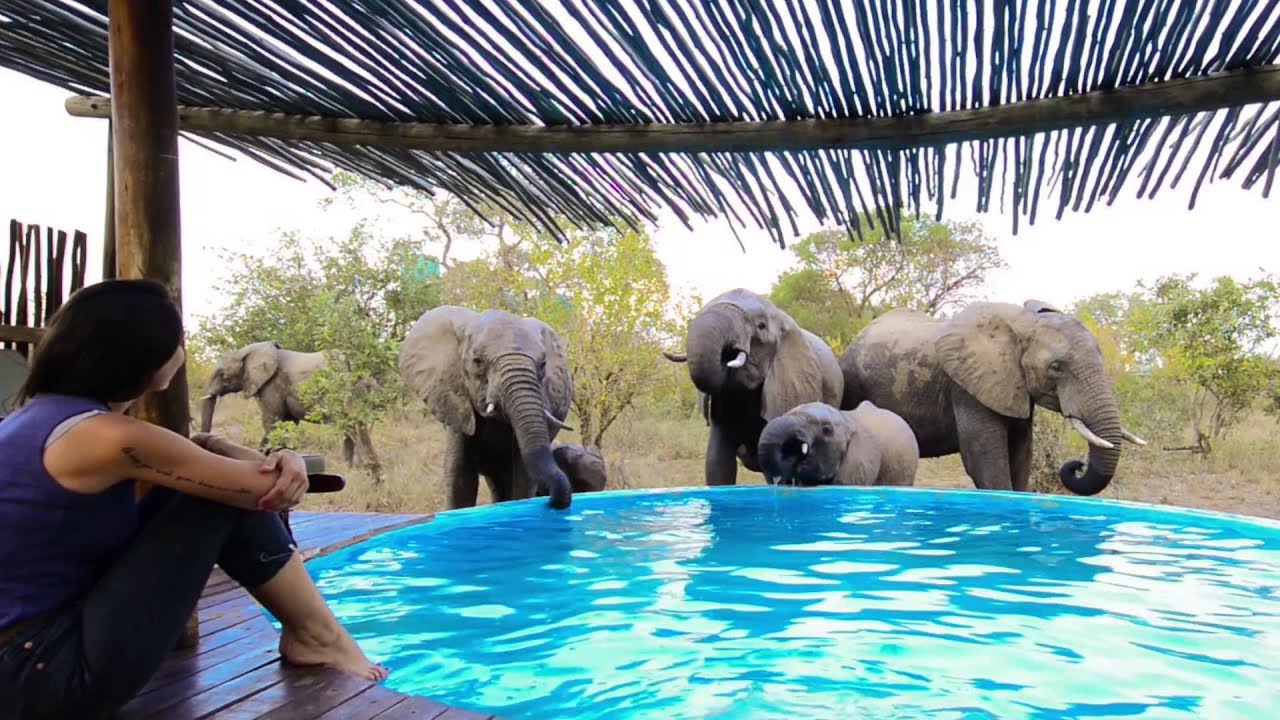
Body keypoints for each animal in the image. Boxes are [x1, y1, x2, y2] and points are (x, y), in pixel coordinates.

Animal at [839, 299, 1146, 496]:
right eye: (1056, 367)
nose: (1077, 465)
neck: (1022, 323)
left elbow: (1021, 451)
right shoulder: (966, 385)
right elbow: (983, 454)